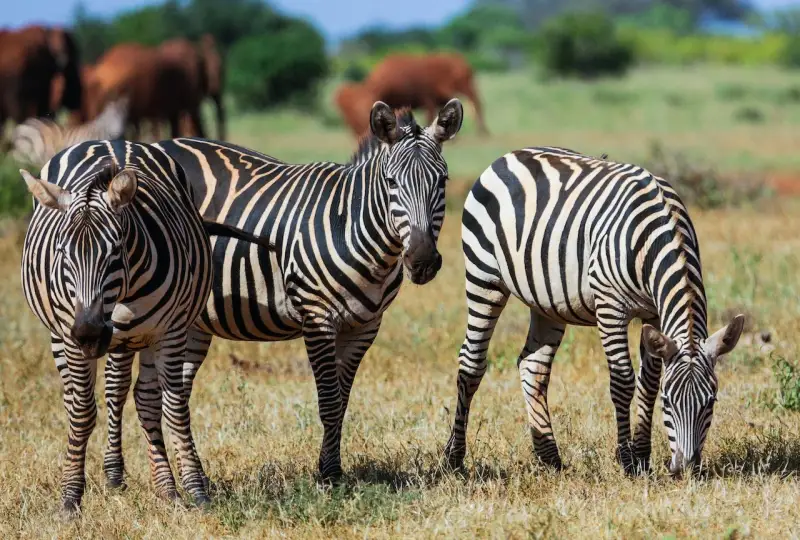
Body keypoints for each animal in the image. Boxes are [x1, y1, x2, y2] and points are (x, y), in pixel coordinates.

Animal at [18, 139, 255, 515]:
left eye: (116, 251)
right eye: (61, 252)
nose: (89, 335)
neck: (122, 296)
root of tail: (110, 141)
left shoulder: (170, 331)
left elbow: (173, 408)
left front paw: (192, 490)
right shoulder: (71, 333)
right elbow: (83, 411)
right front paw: (70, 498)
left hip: (142, 338)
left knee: (143, 399)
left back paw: (161, 485)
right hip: (61, 334)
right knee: (78, 398)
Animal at [92, 99, 464, 487]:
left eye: (443, 181)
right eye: (391, 183)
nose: (422, 261)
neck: (354, 227)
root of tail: (148, 149)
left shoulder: (364, 327)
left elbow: (342, 401)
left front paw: (329, 466)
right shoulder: (317, 318)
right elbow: (329, 401)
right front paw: (329, 476)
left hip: (185, 319)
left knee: (157, 393)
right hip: (128, 307)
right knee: (117, 385)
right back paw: (115, 475)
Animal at [443, 146, 744, 476]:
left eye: (711, 402)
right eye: (668, 402)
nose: (686, 469)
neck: (656, 238)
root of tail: (509, 155)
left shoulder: (653, 313)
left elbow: (648, 382)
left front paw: (642, 456)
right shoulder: (610, 307)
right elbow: (623, 381)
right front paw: (627, 461)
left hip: (547, 302)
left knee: (533, 366)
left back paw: (550, 458)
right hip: (484, 277)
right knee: (471, 361)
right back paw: (453, 458)